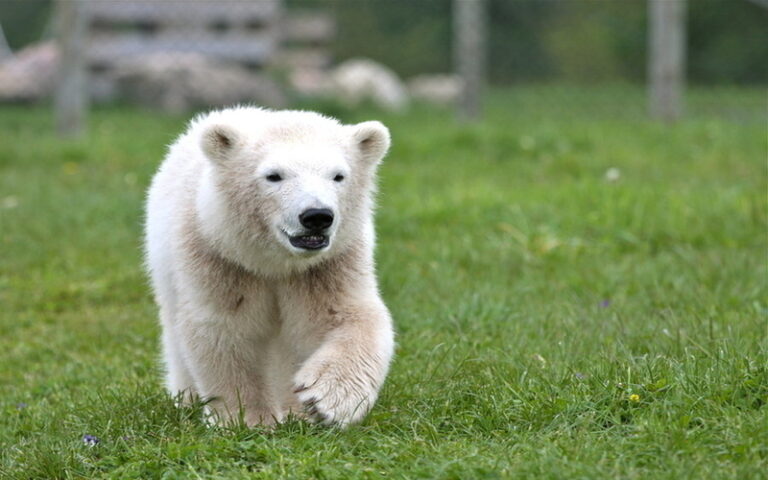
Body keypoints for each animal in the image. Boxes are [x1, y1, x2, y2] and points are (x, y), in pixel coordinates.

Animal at [145, 107, 396, 426]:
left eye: (338, 176)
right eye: (273, 176)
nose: (317, 216)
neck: (274, 263)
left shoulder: (329, 265)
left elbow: (348, 314)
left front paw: (324, 400)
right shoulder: (219, 259)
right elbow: (224, 328)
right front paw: (246, 419)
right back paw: (186, 399)